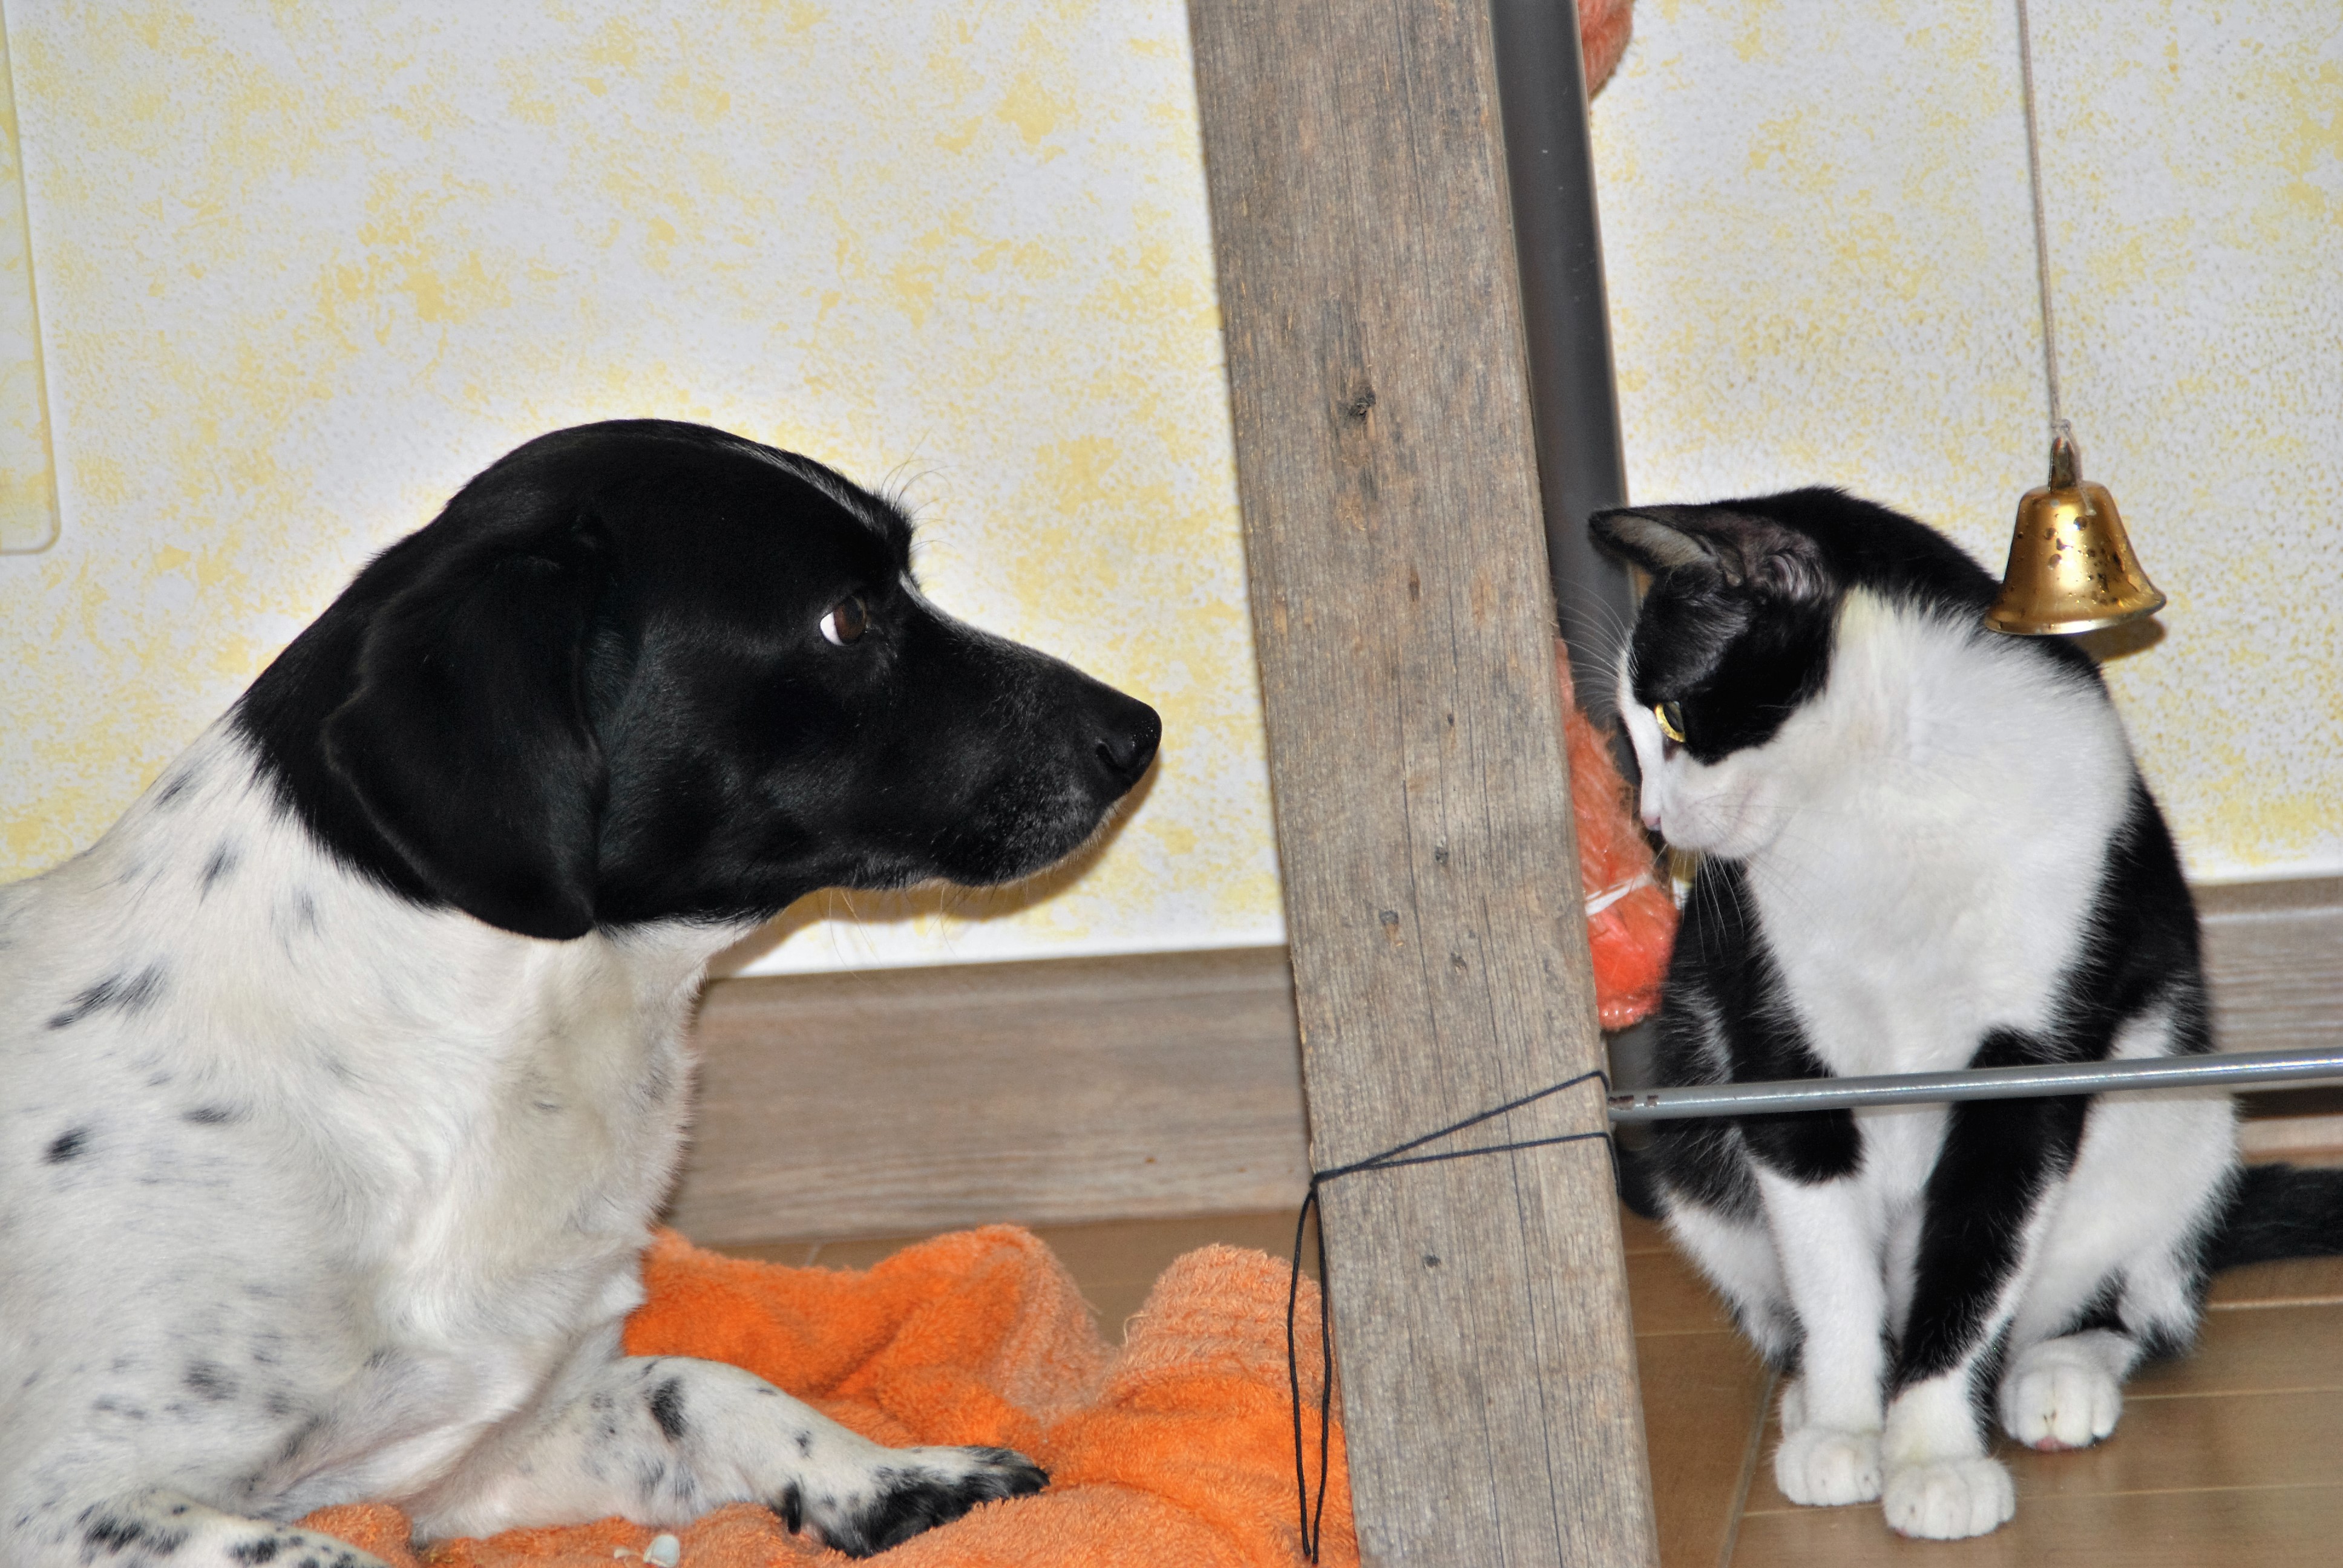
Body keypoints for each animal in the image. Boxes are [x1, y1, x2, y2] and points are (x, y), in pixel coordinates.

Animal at [0, 420, 1161, 1565]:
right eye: (848, 618)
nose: (1139, 730)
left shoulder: (470, 1458)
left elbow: (697, 1384)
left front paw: (888, 1475)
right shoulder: (67, 1507)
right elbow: (335, 1552)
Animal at [1589, 489, 2343, 1541]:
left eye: (1670, 713)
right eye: (1627, 733)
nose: (1656, 826)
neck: (1886, 800)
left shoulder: (2031, 1060)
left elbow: (1979, 1250)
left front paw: (1934, 1450)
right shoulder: (1777, 1046)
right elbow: (1830, 1268)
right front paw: (1849, 1424)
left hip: (2176, 1114)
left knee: (2146, 1303)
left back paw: (2061, 1370)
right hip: (1694, 1154)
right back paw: (1814, 1393)